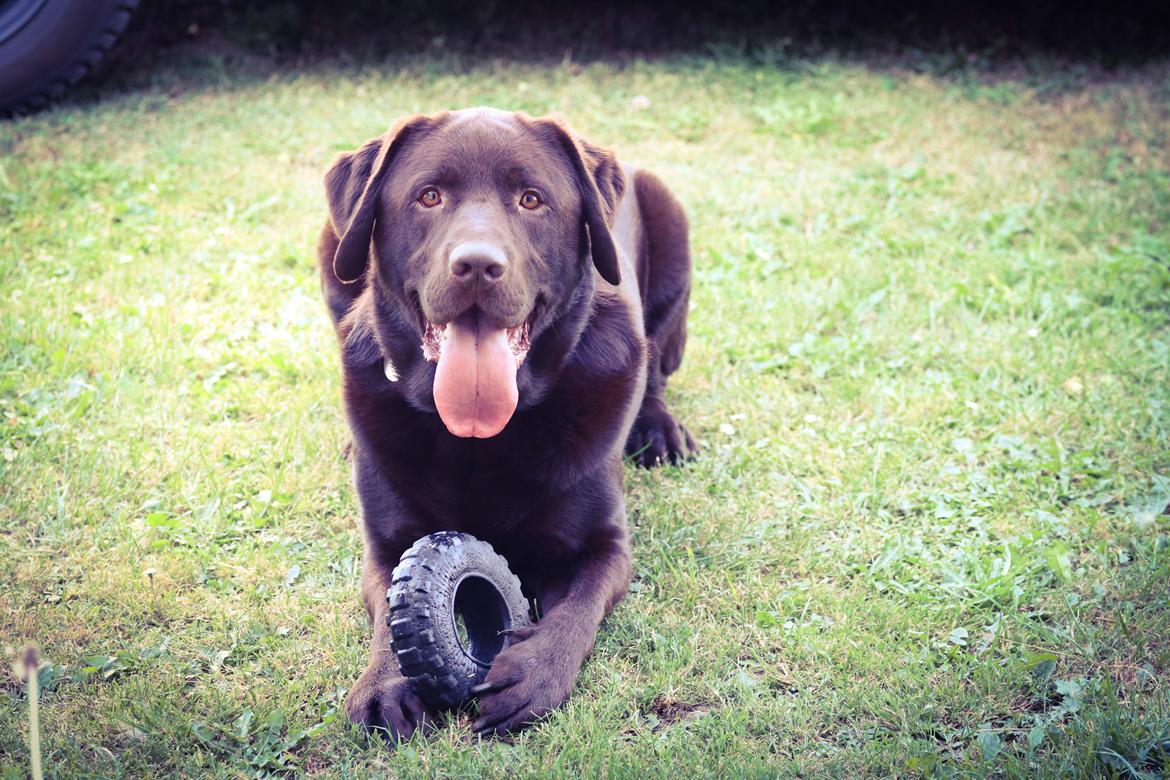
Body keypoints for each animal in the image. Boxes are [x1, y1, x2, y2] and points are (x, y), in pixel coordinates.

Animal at [318, 108, 692, 739]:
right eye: (429, 196)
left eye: (531, 200)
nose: (477, 264)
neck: (478, 440)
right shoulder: (386, 543)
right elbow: (389, 608)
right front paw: (385, 685)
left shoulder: (604, 547)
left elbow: (577, 609)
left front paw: (534, 671)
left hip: (674, 230)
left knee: (657, 365)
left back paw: (660, 430)